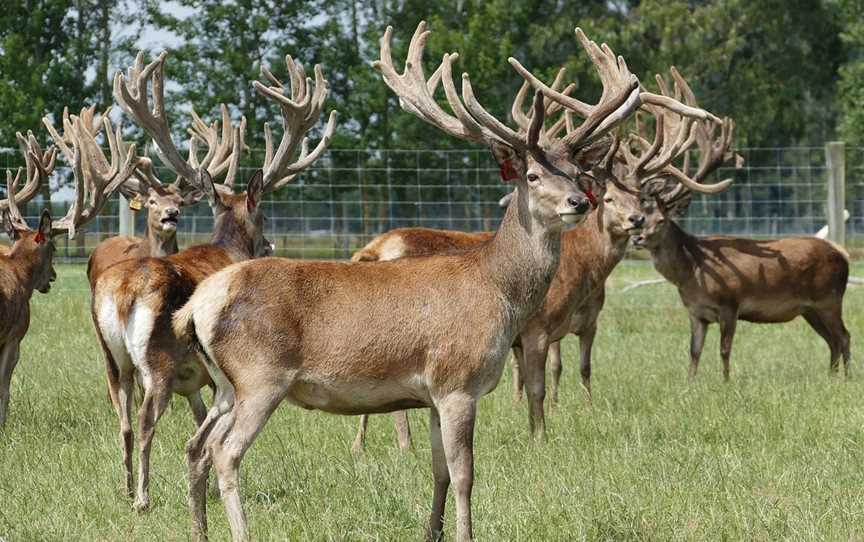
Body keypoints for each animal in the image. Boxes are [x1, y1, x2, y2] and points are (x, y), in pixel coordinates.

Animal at [91, 51, 334, 516]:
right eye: (264, 215)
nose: (270, 243)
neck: (227, 251)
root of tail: (123, 292)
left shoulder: (198, 381)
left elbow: (199, 424)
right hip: (158, 361)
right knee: (145, 421)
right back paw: (143, 497)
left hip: (113, 359)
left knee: (123, 420)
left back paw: (126, 489)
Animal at [174, 21, 648, 542]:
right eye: (532, 175)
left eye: (579, 172)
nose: (578, 202)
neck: (498, 293)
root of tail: (196, 305)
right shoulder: (457, 382)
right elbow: (465, 474)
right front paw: (465, 534)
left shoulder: (431, 394)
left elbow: (439, 471)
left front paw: (431, 531)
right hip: (260, 376)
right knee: (225, 451)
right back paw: (241, 531)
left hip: (225, 385)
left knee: (195, 446)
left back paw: (198, 530)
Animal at [352, 65, 724, 450]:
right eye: (532, 175)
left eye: (576, 175)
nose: (579, 202)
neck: (582, 270)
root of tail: (371, 249)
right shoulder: (538, 327)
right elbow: (537, 386)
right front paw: (540, 437)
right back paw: (405, 446)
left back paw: (362, 445)